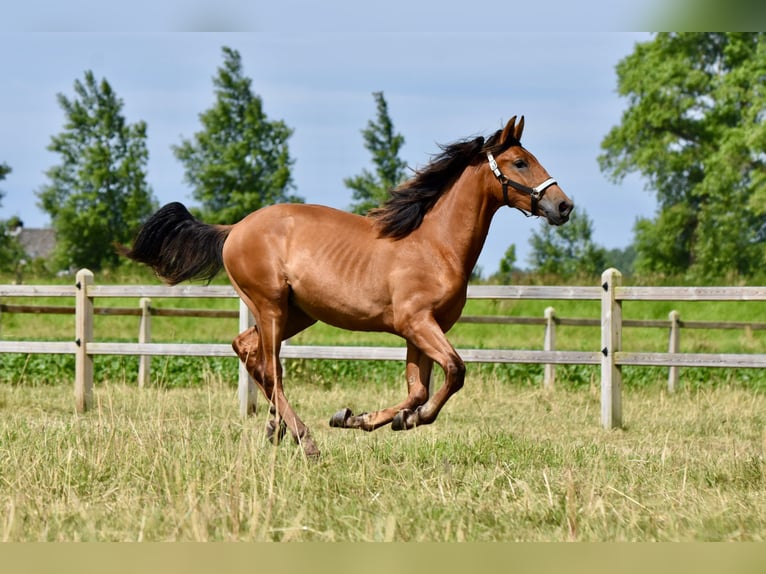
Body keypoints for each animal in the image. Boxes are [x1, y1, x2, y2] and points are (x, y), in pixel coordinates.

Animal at [123, 117, 572, 460]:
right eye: (520, 162)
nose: (563, 206)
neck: (435, 245)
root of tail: (234, 229)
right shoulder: (418, 323)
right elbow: (455, 372)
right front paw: (376, 419)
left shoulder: (419, 331)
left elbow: (419, 389)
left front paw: (374, 418)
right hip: (271, 307)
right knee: (271, 369)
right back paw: (305, 440)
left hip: (297, 313)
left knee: (247, 350)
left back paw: (276, 430)